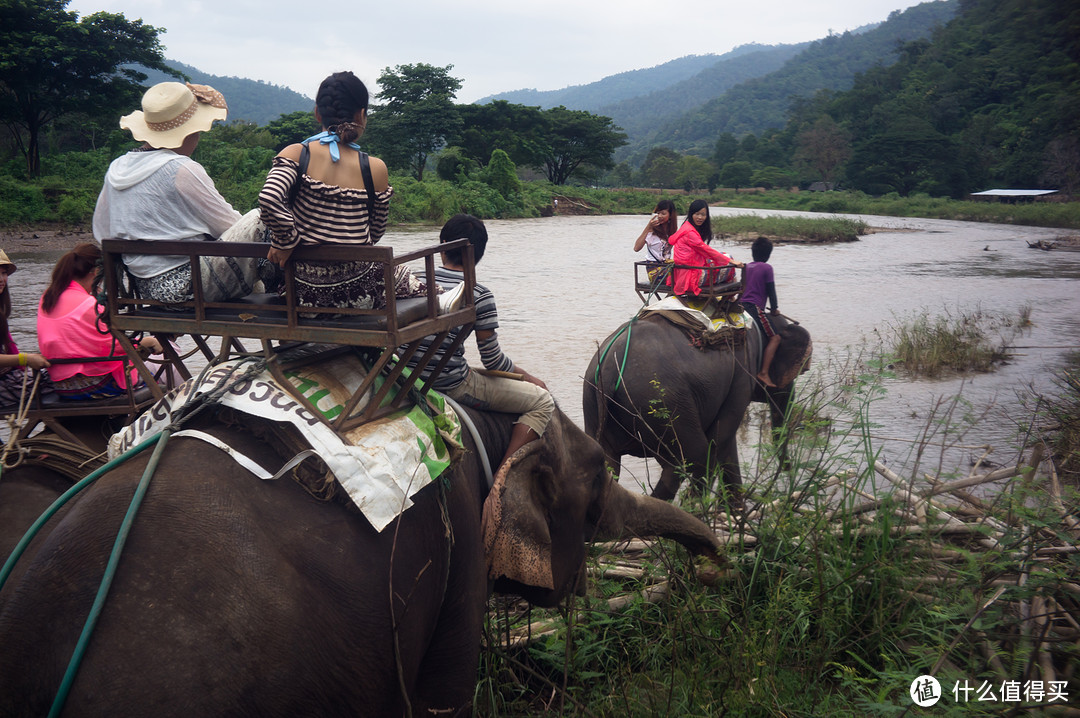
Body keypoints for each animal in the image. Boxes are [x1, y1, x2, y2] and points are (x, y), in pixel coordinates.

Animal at [583, 310, 812, 500]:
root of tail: (610, 368)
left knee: (608, 463)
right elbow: (720, 438)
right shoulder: (742, 373)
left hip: (594, 402)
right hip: (665, 402)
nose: (788, 471)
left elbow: (726, 442)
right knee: (693, 457)